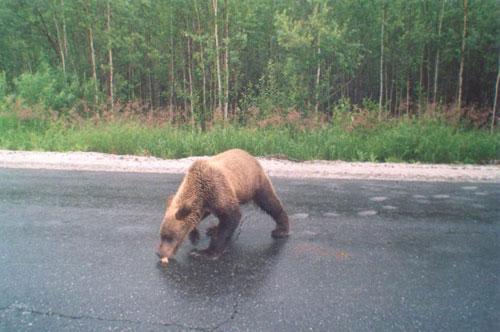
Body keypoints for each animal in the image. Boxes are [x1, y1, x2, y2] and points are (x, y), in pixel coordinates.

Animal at [156, 149, 290, 266]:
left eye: (169, 237)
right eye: (161, 235)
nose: (159, 253)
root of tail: (250, 155)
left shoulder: (217, 189)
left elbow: (231, 216)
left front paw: (205, 252)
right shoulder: (206, 202)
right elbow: (199, 217)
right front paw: (194, 236)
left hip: (254, 182)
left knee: (269, 202)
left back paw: (281, 230)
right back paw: (212, 228)